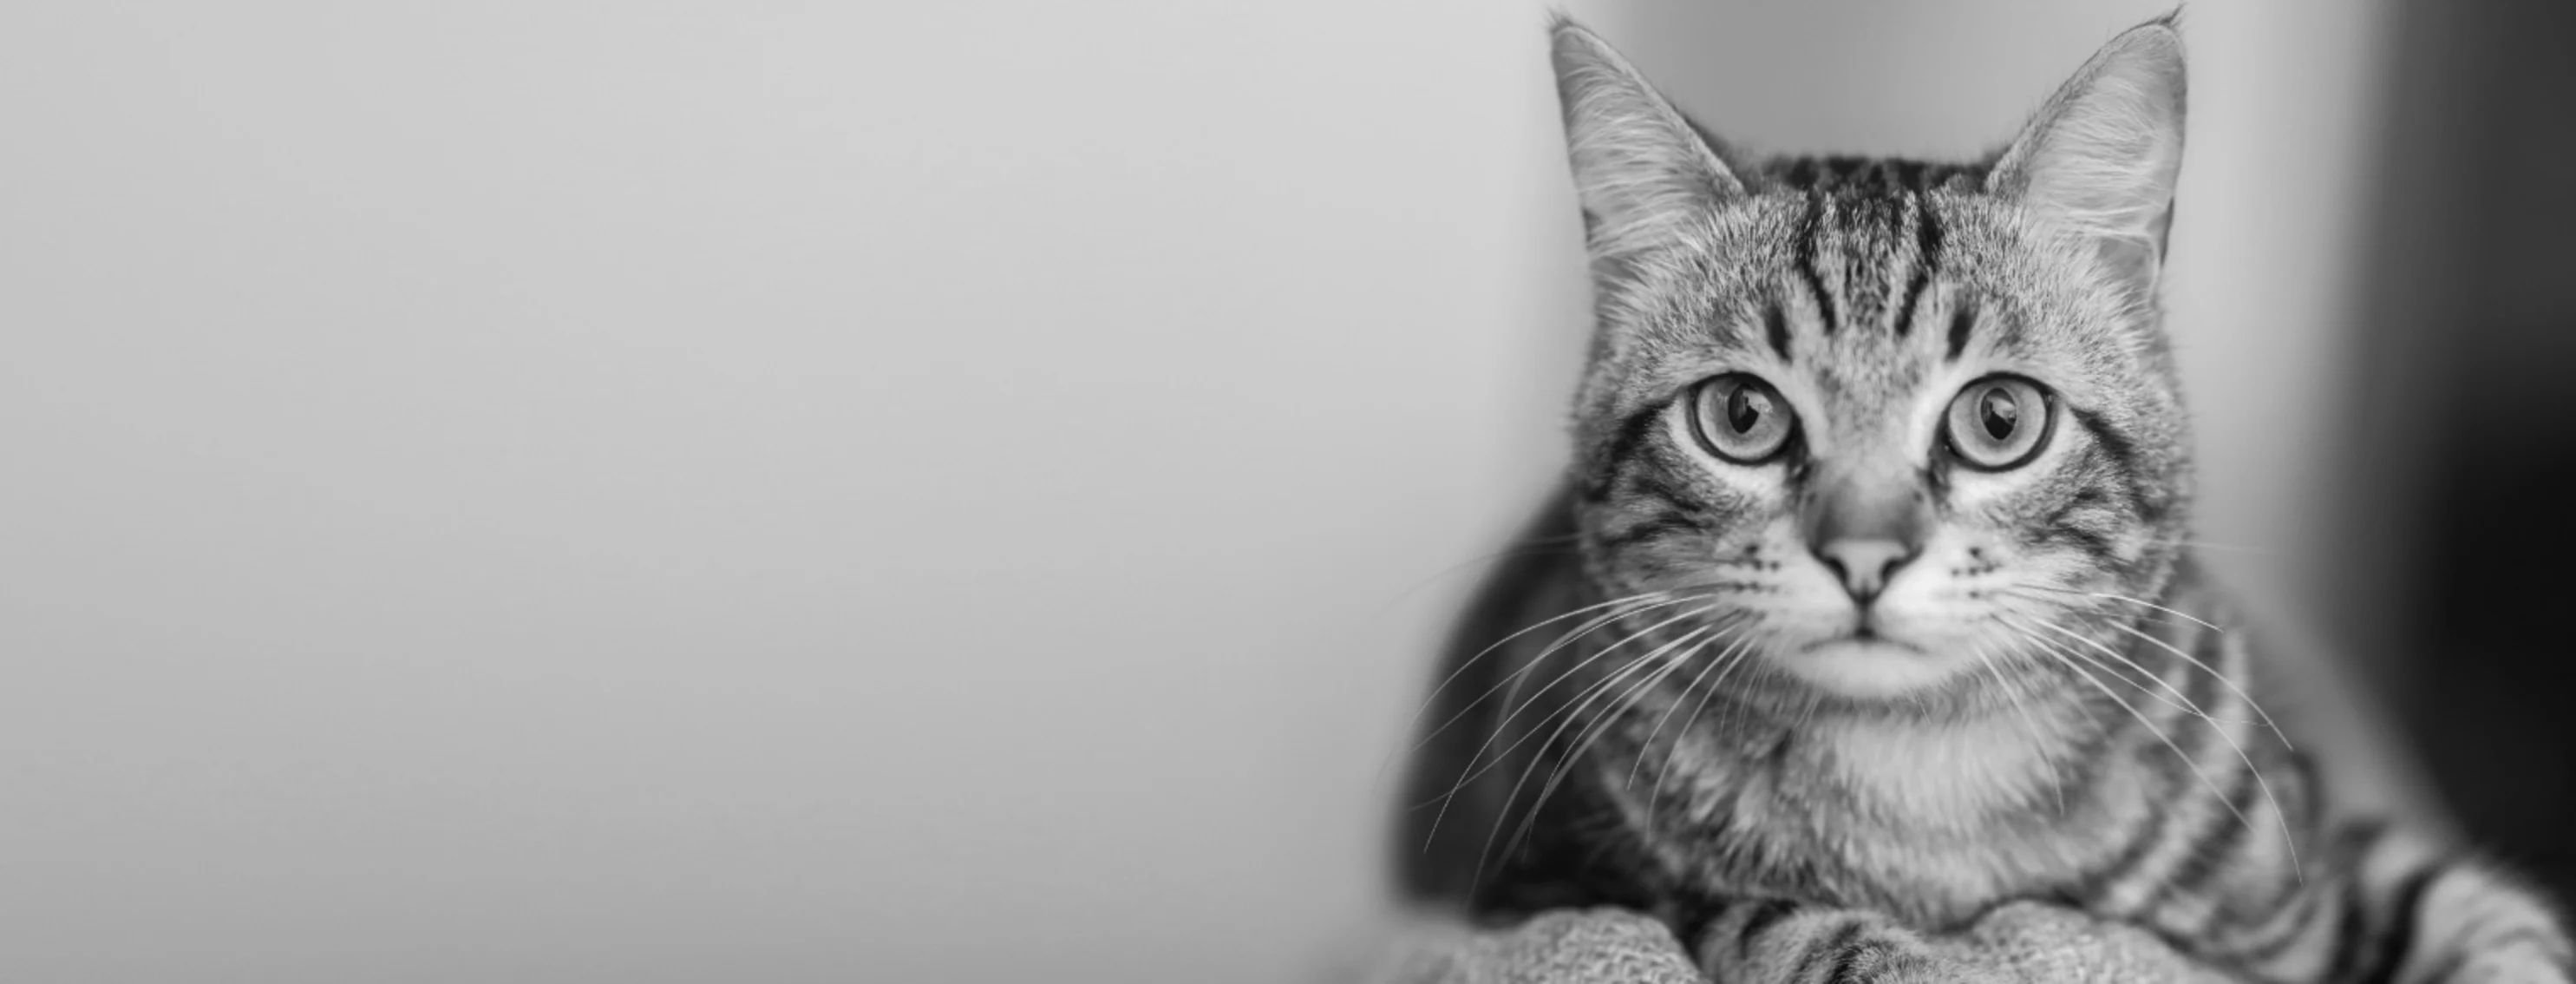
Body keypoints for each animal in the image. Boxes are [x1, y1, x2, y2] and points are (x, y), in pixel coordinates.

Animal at [1401, 13, 2576, 984]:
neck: (1924, 772)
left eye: (1999, 419)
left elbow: (2492, 914)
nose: (1863, 556)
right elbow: (1763, 917)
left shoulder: (2319, 866)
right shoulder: (1544, 879)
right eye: (1740, 416)